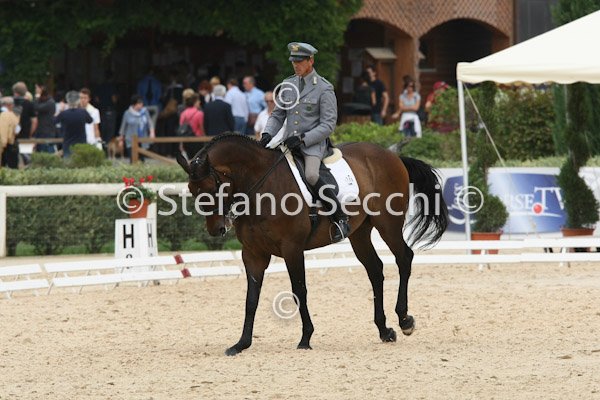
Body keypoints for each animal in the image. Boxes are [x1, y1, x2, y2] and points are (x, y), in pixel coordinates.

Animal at [176, 133, 448, 356]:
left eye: (213, 187)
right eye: (192, 190)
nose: (217, 229)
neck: (261, 187)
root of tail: (391, 155)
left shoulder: (292, 249)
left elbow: (299, 291)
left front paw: (305, 338)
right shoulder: (253, 254)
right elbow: (251, 298)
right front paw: (241, 343)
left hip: (388, 225)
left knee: (404, 258)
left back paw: (404, 320)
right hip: (360, 233)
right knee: (375, 270)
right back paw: (384, 329)